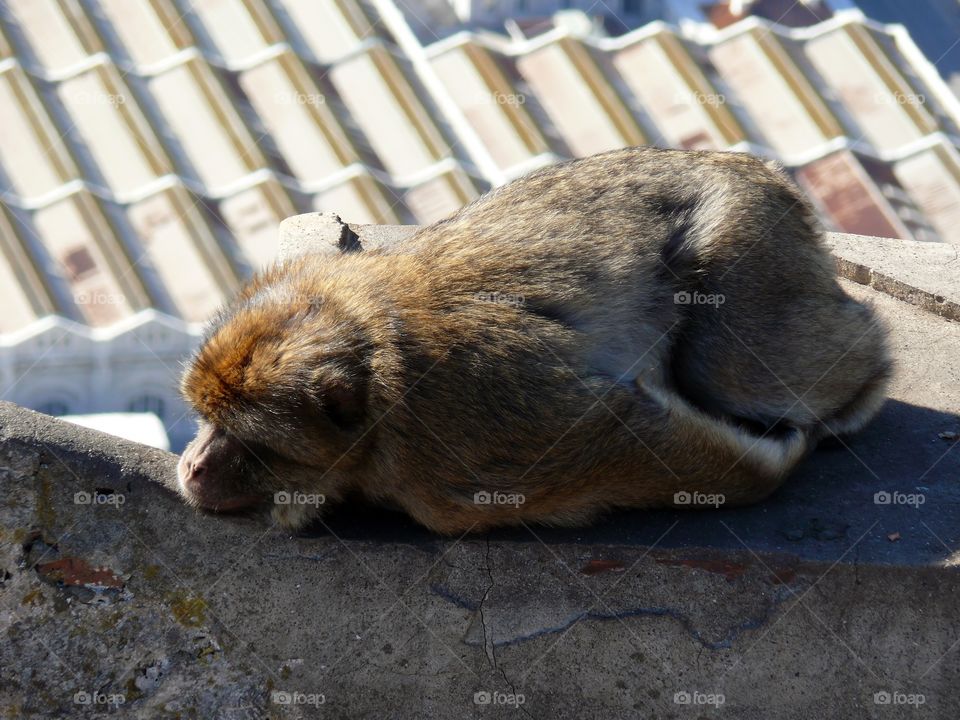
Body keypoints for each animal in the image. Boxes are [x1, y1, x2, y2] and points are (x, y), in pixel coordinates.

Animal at [174, 145, 892, 536]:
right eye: (205, 421)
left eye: (252, 443)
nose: (193, 466)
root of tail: (759, 169)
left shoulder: (461, 440)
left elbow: (625, 433)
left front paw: (770, 466)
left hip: (748, 239)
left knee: (738, 367)